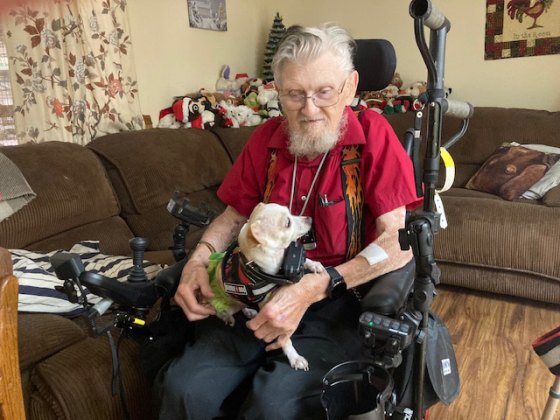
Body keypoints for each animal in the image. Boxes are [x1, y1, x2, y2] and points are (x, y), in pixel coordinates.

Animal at [208, 203, 324, 370]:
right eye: (288, 223)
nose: (309, 218)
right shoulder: (273, 313)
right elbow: (284, 338)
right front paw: (294, 358)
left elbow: (305, 262)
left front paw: (315, 265)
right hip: (223, 304)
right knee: (218, 312)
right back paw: (227, 316)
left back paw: (249, 311)